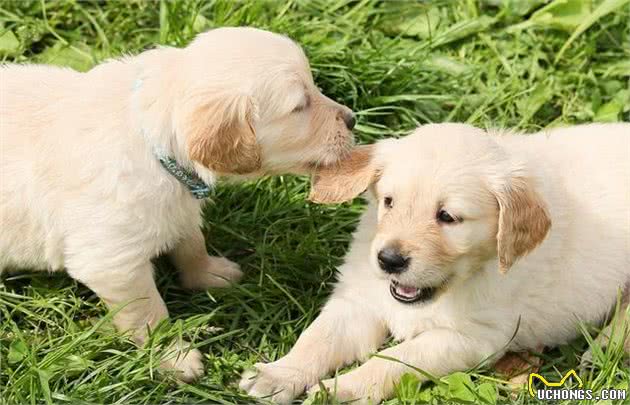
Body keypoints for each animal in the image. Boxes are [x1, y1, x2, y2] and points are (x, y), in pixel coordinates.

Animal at [0, 26, 356, 380]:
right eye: (300, 106)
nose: (353, 119)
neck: (154, 143)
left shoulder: (180, 208)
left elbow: (192, 244)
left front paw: (209, 274)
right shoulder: (113, 263)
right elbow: (148, 314)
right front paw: (173, 356)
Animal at [241, 124, 630, 404]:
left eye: (448, 217)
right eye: (389, 202)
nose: (389, 260)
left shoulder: (472, 337)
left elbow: (395, 360)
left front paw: (342, 390)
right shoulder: (358, 300)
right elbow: (316, 339)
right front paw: (278, 374)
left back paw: (606, 346)